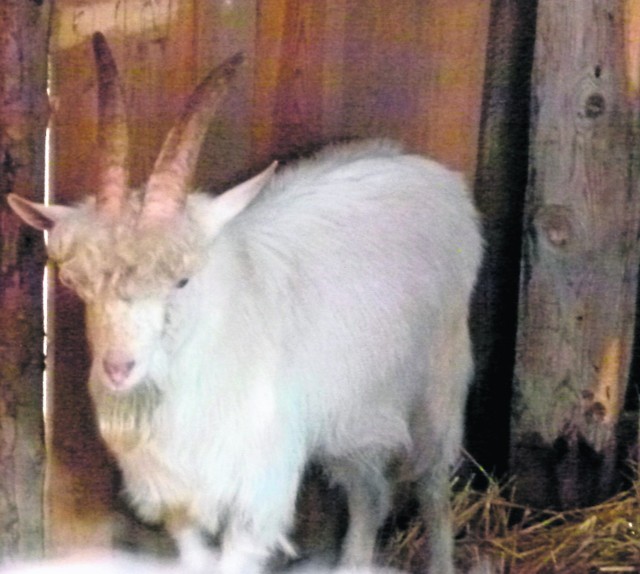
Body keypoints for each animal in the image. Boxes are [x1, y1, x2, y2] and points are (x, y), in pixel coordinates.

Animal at [8, 33, 480, 574]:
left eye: (182, 281)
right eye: (77, 283)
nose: (118, 368)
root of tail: (428, 172)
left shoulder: (258, 493)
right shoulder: (179, 497)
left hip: (441, 378)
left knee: (432, 483)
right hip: (352, 411)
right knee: (370, 496)